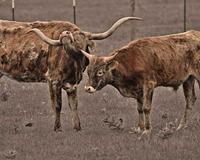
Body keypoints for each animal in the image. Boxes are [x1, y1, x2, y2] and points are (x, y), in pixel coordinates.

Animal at [0, 16, 141, 131]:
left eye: (81, 40)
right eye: (71, 41)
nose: (66, 34)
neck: (73, 63)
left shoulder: (72, 84)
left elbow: (74, 104)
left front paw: (77, 127)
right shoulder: (53, 80)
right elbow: (57, 105)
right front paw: (57, 128)